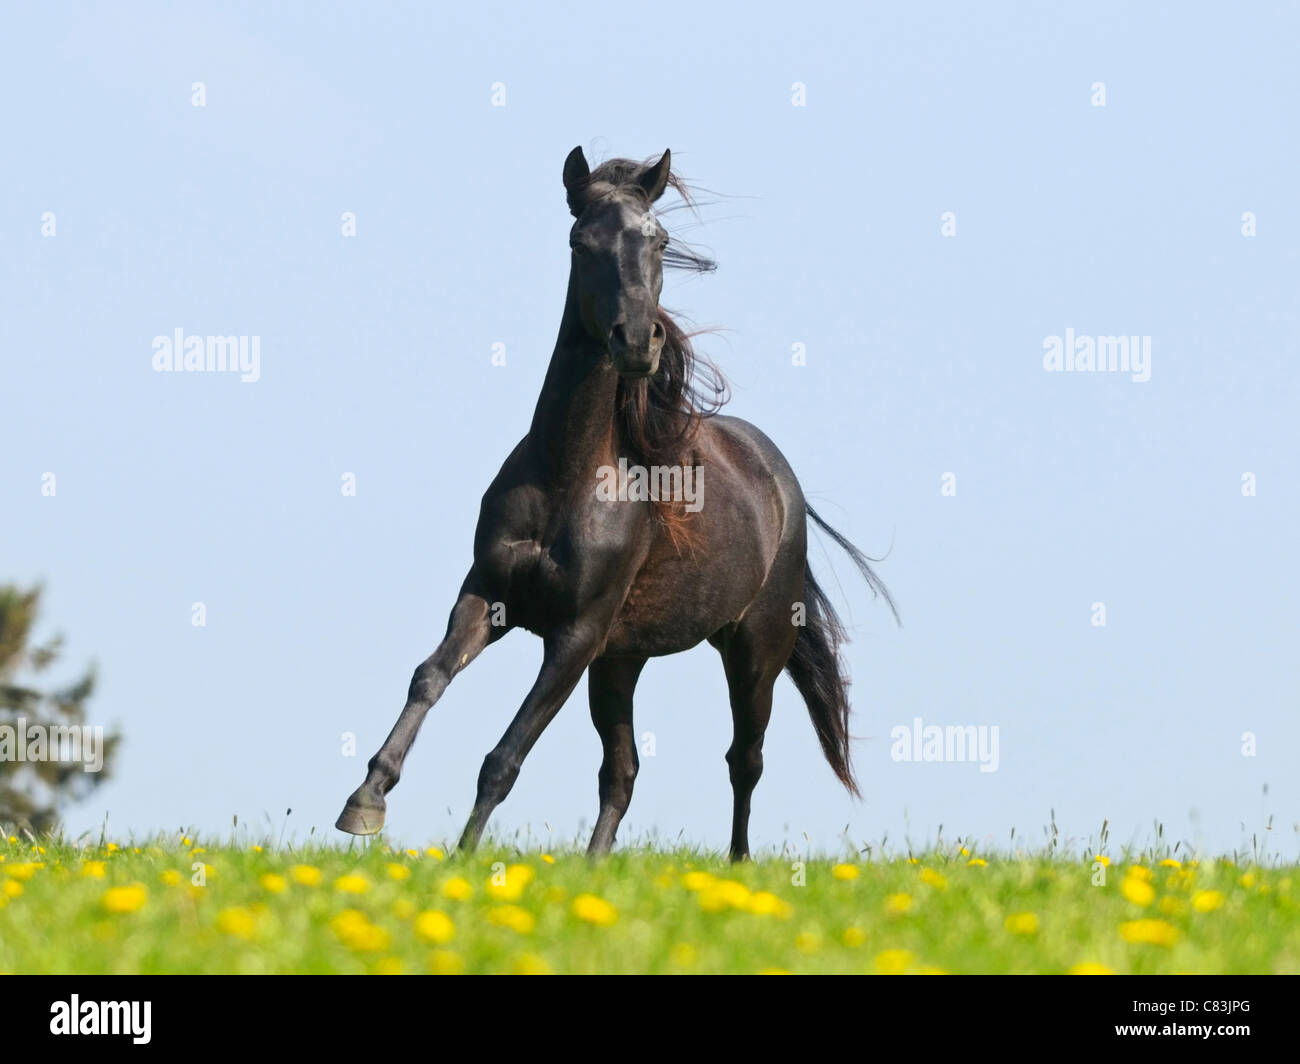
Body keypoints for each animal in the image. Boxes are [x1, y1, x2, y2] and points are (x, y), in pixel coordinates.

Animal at [336, 146, 898, 859]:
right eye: (581, 242)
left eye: (659, 240)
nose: (636, 340)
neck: (567, 479)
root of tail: (780, 482)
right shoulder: (490, 597)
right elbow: (429, 676)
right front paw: (365, 801)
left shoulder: (575, 637)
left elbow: (505, 757)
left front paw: (461, 858)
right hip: (622, 662)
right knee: (624, 771)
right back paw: (596, 865)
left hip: (753, 651)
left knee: (744, 759)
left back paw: (737, 863)